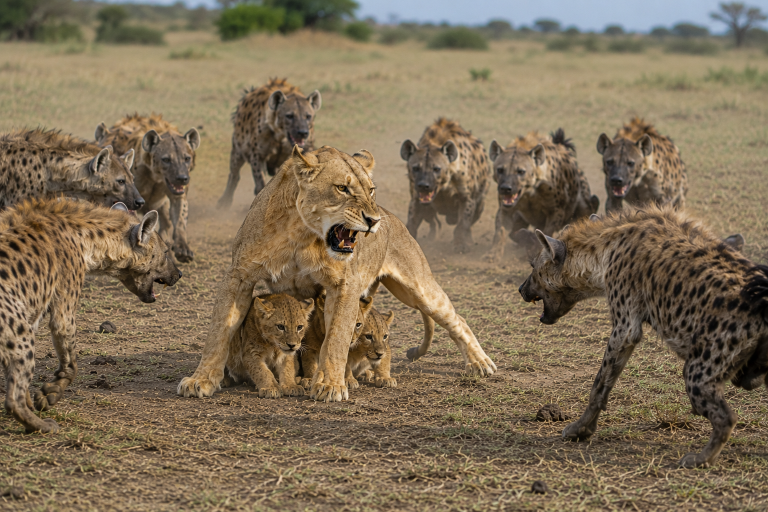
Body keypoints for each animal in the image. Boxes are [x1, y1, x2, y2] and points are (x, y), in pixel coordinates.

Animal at [178, 145, 496, 402]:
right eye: (342, 189)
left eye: (371, 190)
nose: (374, 220)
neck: (301, 234)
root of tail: (394, 218)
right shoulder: (239, 277)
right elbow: (218, 332)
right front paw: (201, 380)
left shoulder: (343, 285)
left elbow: (336, 340)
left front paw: (331, 386)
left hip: (419, 287)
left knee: (456, 319)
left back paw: (481, 363)